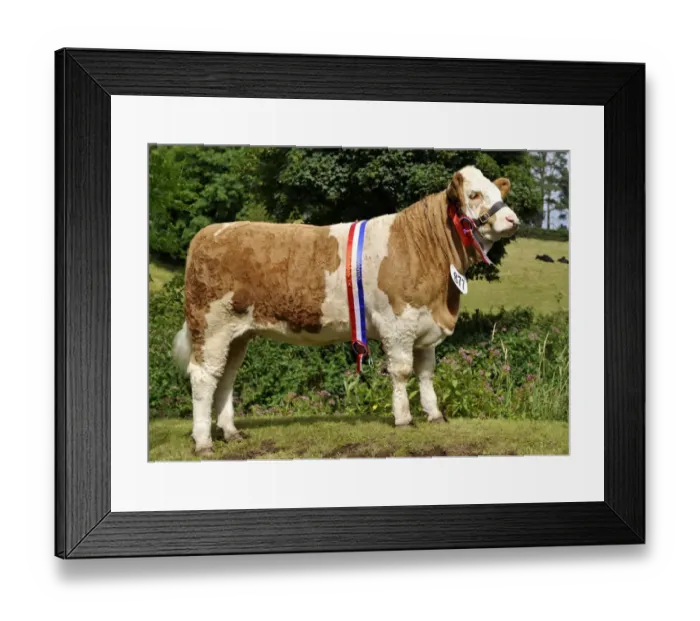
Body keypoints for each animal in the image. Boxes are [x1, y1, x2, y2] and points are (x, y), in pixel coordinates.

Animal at [172, 166, 520, 455]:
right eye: (474, 195)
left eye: (499, 192)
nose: (512, 220)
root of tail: (210, 232)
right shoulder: (398, 323)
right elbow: (402, 371)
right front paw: (404, 418)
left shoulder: (423, 325)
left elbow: (425, 372)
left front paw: (434, 414)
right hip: (212, 326)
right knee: (204, 377)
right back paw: (203, 442)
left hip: (238, 334)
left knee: (226, 377)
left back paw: (231, 432)